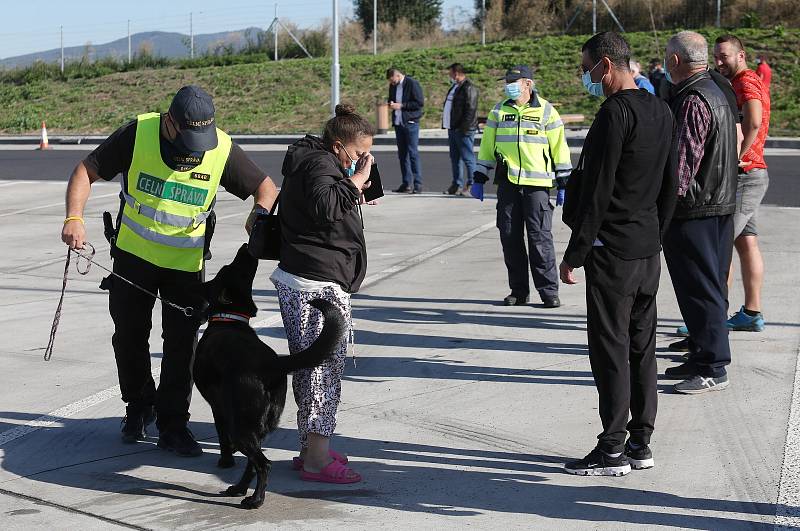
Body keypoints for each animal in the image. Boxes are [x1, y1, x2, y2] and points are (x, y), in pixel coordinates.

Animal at [195, 245, 346, 512]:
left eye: (229, 269)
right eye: (236, 269)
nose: (245, 247)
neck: (228, 318)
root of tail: (272, 363)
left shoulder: (218, 409)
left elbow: (222, 438)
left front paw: (225, 461)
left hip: (240, 426)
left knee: (262, 463)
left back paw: (255, 500)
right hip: (257, 426)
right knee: (253, 463)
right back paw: (240, 489)